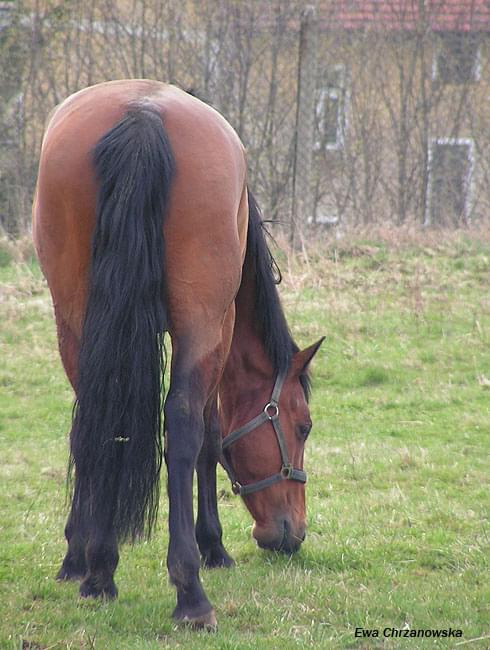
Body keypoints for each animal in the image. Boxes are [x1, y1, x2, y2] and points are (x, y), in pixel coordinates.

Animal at [32, 78, 324, 624]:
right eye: (303, 427)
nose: (291, 534)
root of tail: (143, 115)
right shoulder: (221, 328)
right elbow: (210, 437)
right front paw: (214, 547)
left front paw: (74, 556)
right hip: (200, 321)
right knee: (185, 427)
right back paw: (190, 593)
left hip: (75, 315)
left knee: (93, 421)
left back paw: (98, 569)